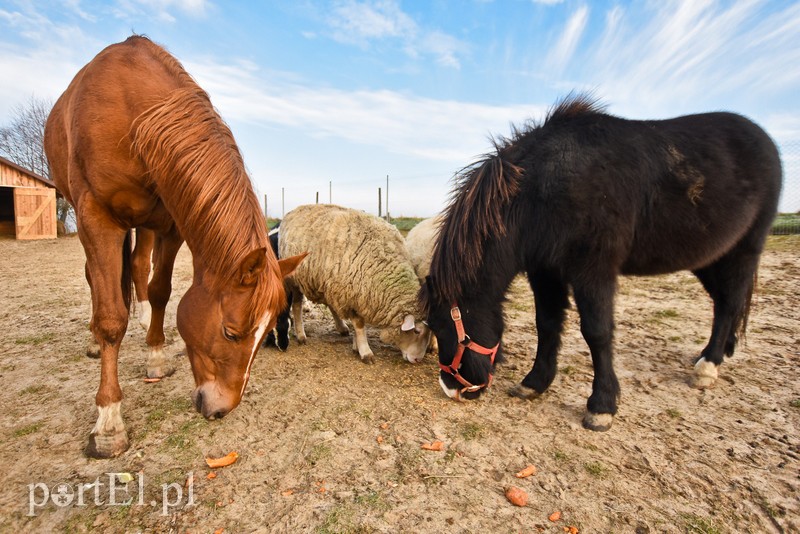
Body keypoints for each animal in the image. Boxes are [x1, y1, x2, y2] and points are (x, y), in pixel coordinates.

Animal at [45, 35, 306, 458]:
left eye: (266, 332)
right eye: (231, 333)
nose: (221, 410)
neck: (135, 117)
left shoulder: (171, 224)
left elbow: (161, 291)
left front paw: (156, 355)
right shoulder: (96, 217)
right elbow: (110, 317)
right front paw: (108, 422)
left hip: (144, 225)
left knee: (137, 268)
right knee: (96, 282)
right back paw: (95, 344)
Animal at [282, 204, 432, 364]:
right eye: (416, 331)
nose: (418, 359)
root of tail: (295, 210)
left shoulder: (358, 294)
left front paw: (356, 346)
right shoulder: (352, 295)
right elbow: (359, 325)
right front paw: (365, 352)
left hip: (330, 282)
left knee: (331, 305)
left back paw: (341, 327)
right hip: (295, 280)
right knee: (297, 306)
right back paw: (301, 335)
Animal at [418, 95, 780, 432]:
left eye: (443, 326)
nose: (451, 388)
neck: (543, 187)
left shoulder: (593, 270)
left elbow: (597, 332)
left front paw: (602, 406)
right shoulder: (545, 271)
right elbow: (547, 323)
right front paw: (535, 382)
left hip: (744, 250)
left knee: (729, 303)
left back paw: (708, 366)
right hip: (709, 257)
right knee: (724, 302)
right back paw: (717, 352)